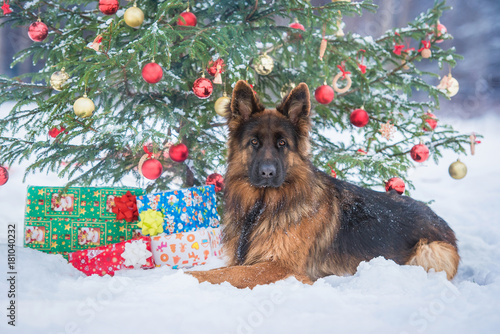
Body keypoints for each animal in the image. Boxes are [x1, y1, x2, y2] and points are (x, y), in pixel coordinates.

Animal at [188, 81, 460, 290]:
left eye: (282, 144)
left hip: (430, 251)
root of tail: (440, 220)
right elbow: (227, 270)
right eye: (254, 142)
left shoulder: (281, 267)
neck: (263, 206)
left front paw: (188, 276)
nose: (267, 173)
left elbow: (229, 274)